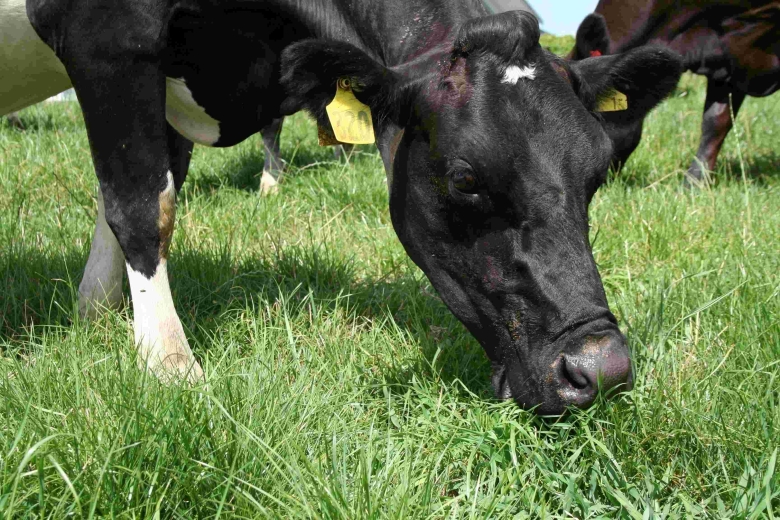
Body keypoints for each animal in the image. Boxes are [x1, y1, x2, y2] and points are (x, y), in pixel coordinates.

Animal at [1, 0, 682, 414]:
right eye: (465, 179)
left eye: (597, 170)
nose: (601, 369)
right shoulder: (109, 37)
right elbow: (143, 206)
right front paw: (168, 365)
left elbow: (127, 193)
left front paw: (95, 315)